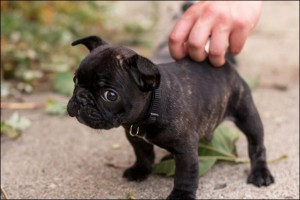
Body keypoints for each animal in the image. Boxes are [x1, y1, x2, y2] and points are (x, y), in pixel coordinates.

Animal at [67, 35, 274, 199]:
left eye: (110, 95)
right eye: (75, 80)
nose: (82, 98)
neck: (151, 107)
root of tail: (225, 64)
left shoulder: (185, 149)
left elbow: (185, 174)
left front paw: (181, 195)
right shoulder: (136, 138)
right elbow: (143, 154)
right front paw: (140, 170)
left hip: (247, 114)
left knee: (257, 145)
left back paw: (260, 173)